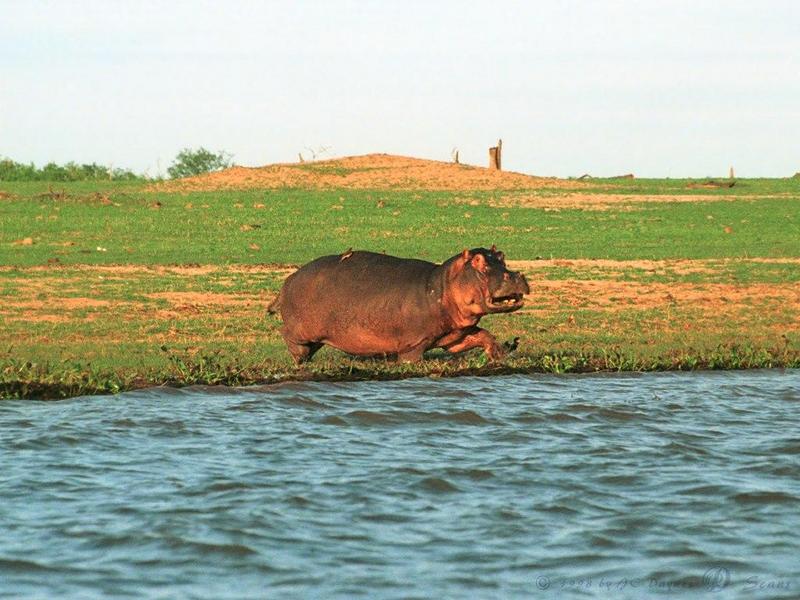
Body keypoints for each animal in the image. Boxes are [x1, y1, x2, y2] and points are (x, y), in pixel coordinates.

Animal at [268, 246, 532, 364]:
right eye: (477, 261)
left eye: (502, 256)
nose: (515, 275)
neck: (443, 285)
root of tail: (288, 280)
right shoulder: (414, 343)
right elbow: (411, 359)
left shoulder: (455, 335)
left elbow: (483, 335)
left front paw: (498, 355)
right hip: (302, 328)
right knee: (286, 333)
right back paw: (299, 358)